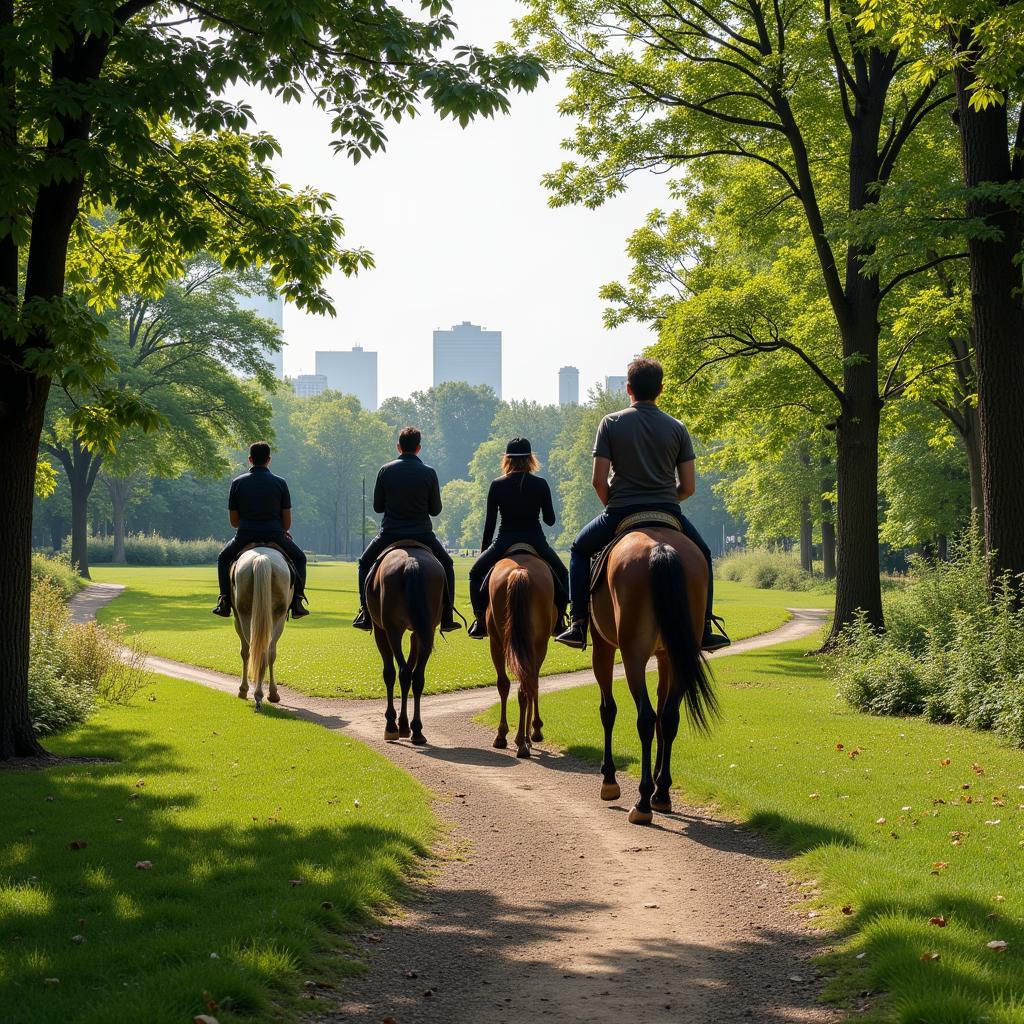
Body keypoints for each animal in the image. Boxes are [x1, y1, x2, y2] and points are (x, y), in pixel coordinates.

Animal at [231, 548, 292, 708]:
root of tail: (262, 556)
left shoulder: (237, 619)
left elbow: (245, 652)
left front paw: (243, 690)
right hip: (276, 617)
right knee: (266, 651)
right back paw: (267, 693)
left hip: (246, 615)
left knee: (256, 650)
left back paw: (259, 694)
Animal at [370, 544, 446, 745]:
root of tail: (411, 562)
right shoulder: (417, 633)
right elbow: (412, 672)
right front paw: (405, 725)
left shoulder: (380, 630)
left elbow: (390, 673)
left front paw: (397, 724)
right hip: (426, 630)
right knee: (417, 677)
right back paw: (417, 730)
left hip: (392, 630)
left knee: (401, 672)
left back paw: (391, 727)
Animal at [485, 552, 557, 761]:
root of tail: (520, 571)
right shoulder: (538, 647)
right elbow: (534, 685)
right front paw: (534, 731)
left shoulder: (496, 642)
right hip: (537, 645)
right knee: (528, 684)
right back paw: (522, 741)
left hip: (499, 642)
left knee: (509, 684)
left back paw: (510, 738)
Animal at [593, 528, 720, 823]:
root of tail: (660, 548)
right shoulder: (665, 655)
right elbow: (665, 713)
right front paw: (660, 785)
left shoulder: (602, 644)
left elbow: (608, 710)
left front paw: (609, 779)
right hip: (678, 652)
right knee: (669, 716)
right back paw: (660, 793)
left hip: (633, 656)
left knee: (646, 718)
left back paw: (642, 802)